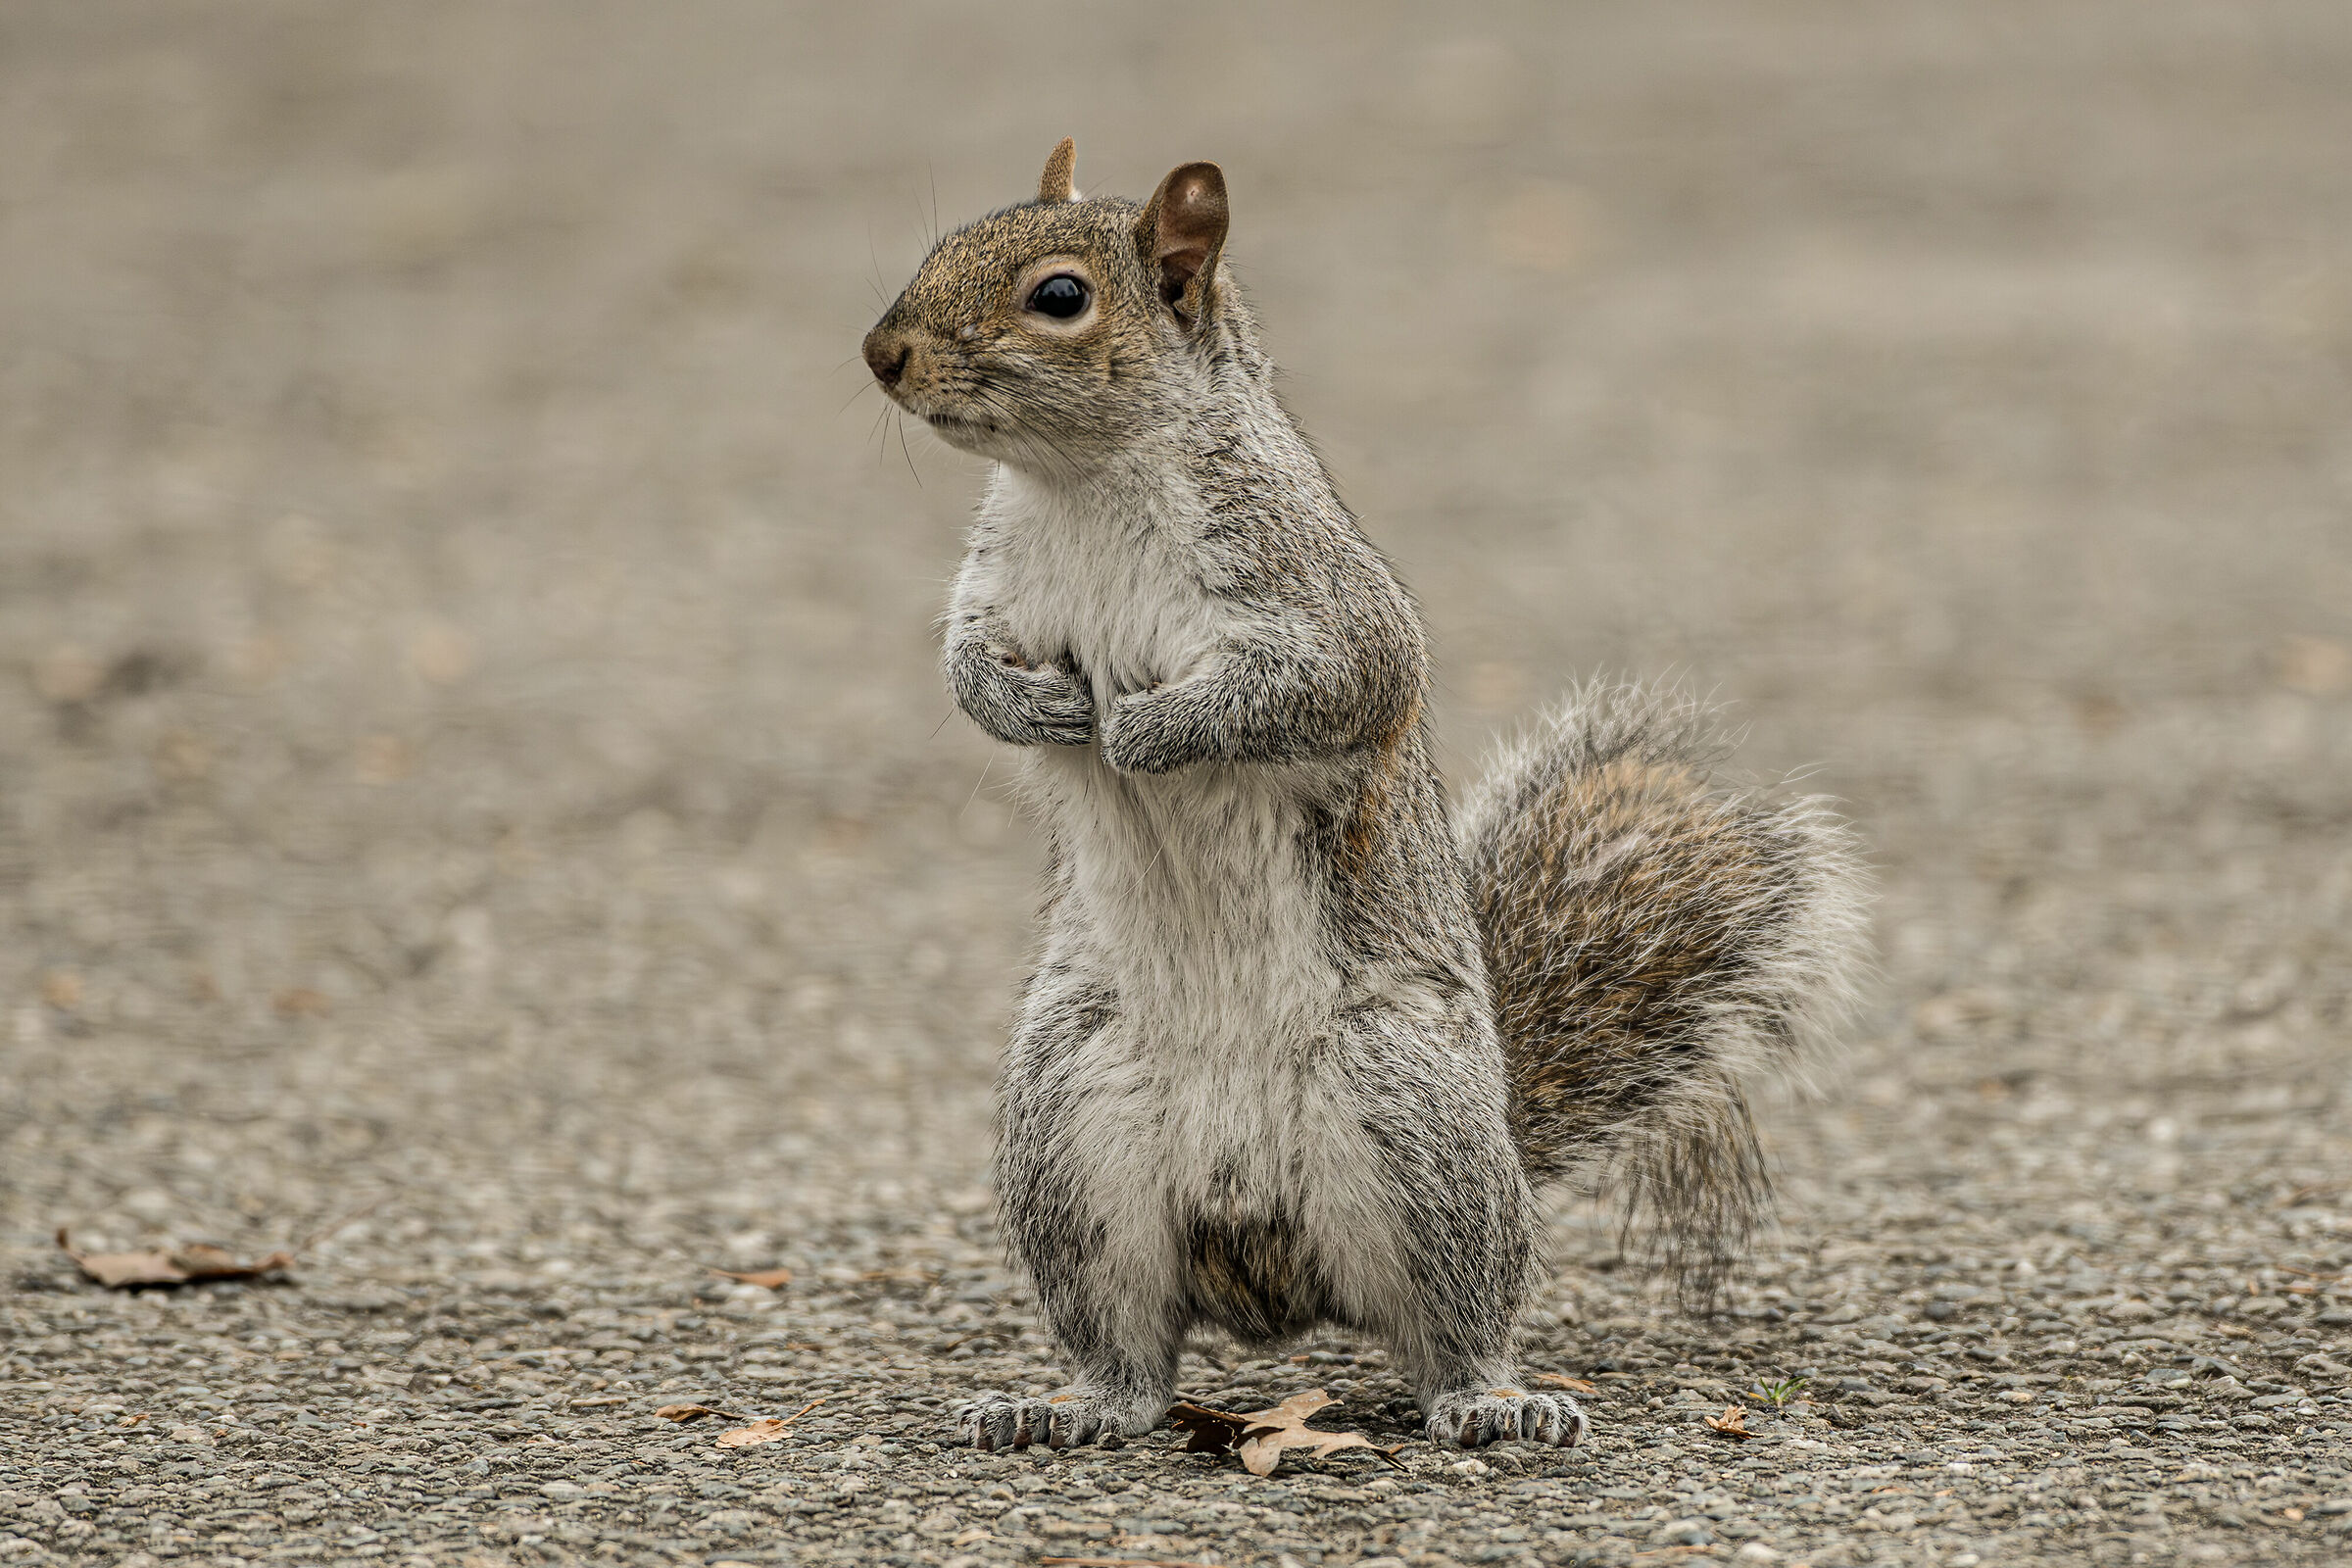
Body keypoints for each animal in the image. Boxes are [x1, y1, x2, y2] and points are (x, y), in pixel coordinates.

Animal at [861, 140, 1870, 1452]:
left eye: (1060, 297)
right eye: (942, 244)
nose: (881, 352)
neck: (1084, 482)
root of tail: (1263, 1262)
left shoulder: (1318, 598)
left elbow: (1327, 685)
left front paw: (1146, 726)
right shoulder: (998, 587)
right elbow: (965, 663)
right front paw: (1032, 709)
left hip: (1412, 1115)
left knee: (1451, 1323)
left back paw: (1494, 1400)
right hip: (1068, 1127)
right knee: (1129, 1356)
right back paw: (1064, 1406)